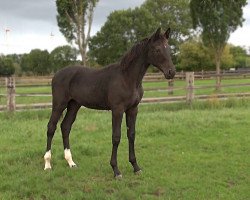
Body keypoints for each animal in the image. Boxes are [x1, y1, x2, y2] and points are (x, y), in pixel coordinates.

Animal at [43, 27, 176, 178]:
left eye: (168, 48)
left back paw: (71, 162)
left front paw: (135, 166)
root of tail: (56, 74)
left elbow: (131, 135)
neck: (127, 78)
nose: (171, 72)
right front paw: (116, 170)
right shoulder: (117, 110)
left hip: (74, 105)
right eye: (157, 49)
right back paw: (47, 164)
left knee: (65, 127)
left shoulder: (133, 109)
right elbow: (116, 137)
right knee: (51, 127)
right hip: (59, 104)